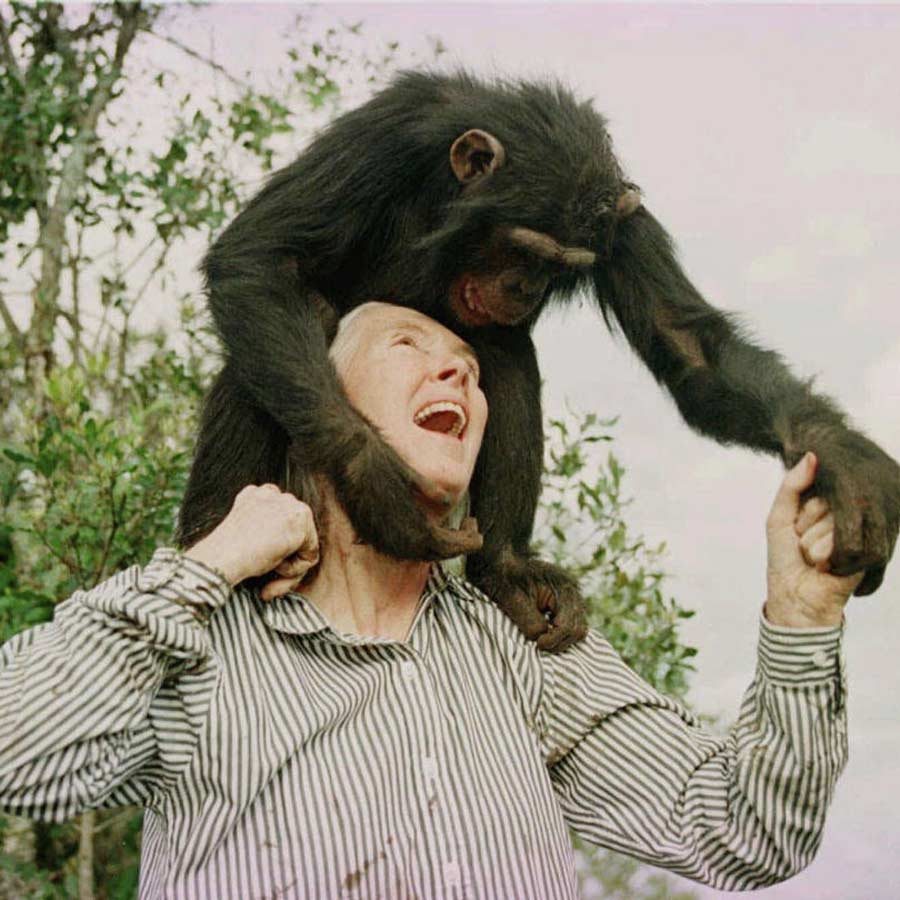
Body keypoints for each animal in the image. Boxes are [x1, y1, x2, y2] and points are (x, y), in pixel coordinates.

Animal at [177, 70, 900, 652]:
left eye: (559, 266)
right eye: (523, 248)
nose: (524, 287)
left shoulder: (623, 226)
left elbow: (687, 343)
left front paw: (845, 461)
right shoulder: (382, 136)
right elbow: (262, 255)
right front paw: (377, 488)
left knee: (507, 355)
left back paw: (505, 567)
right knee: (269, 351)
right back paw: (212, 543)